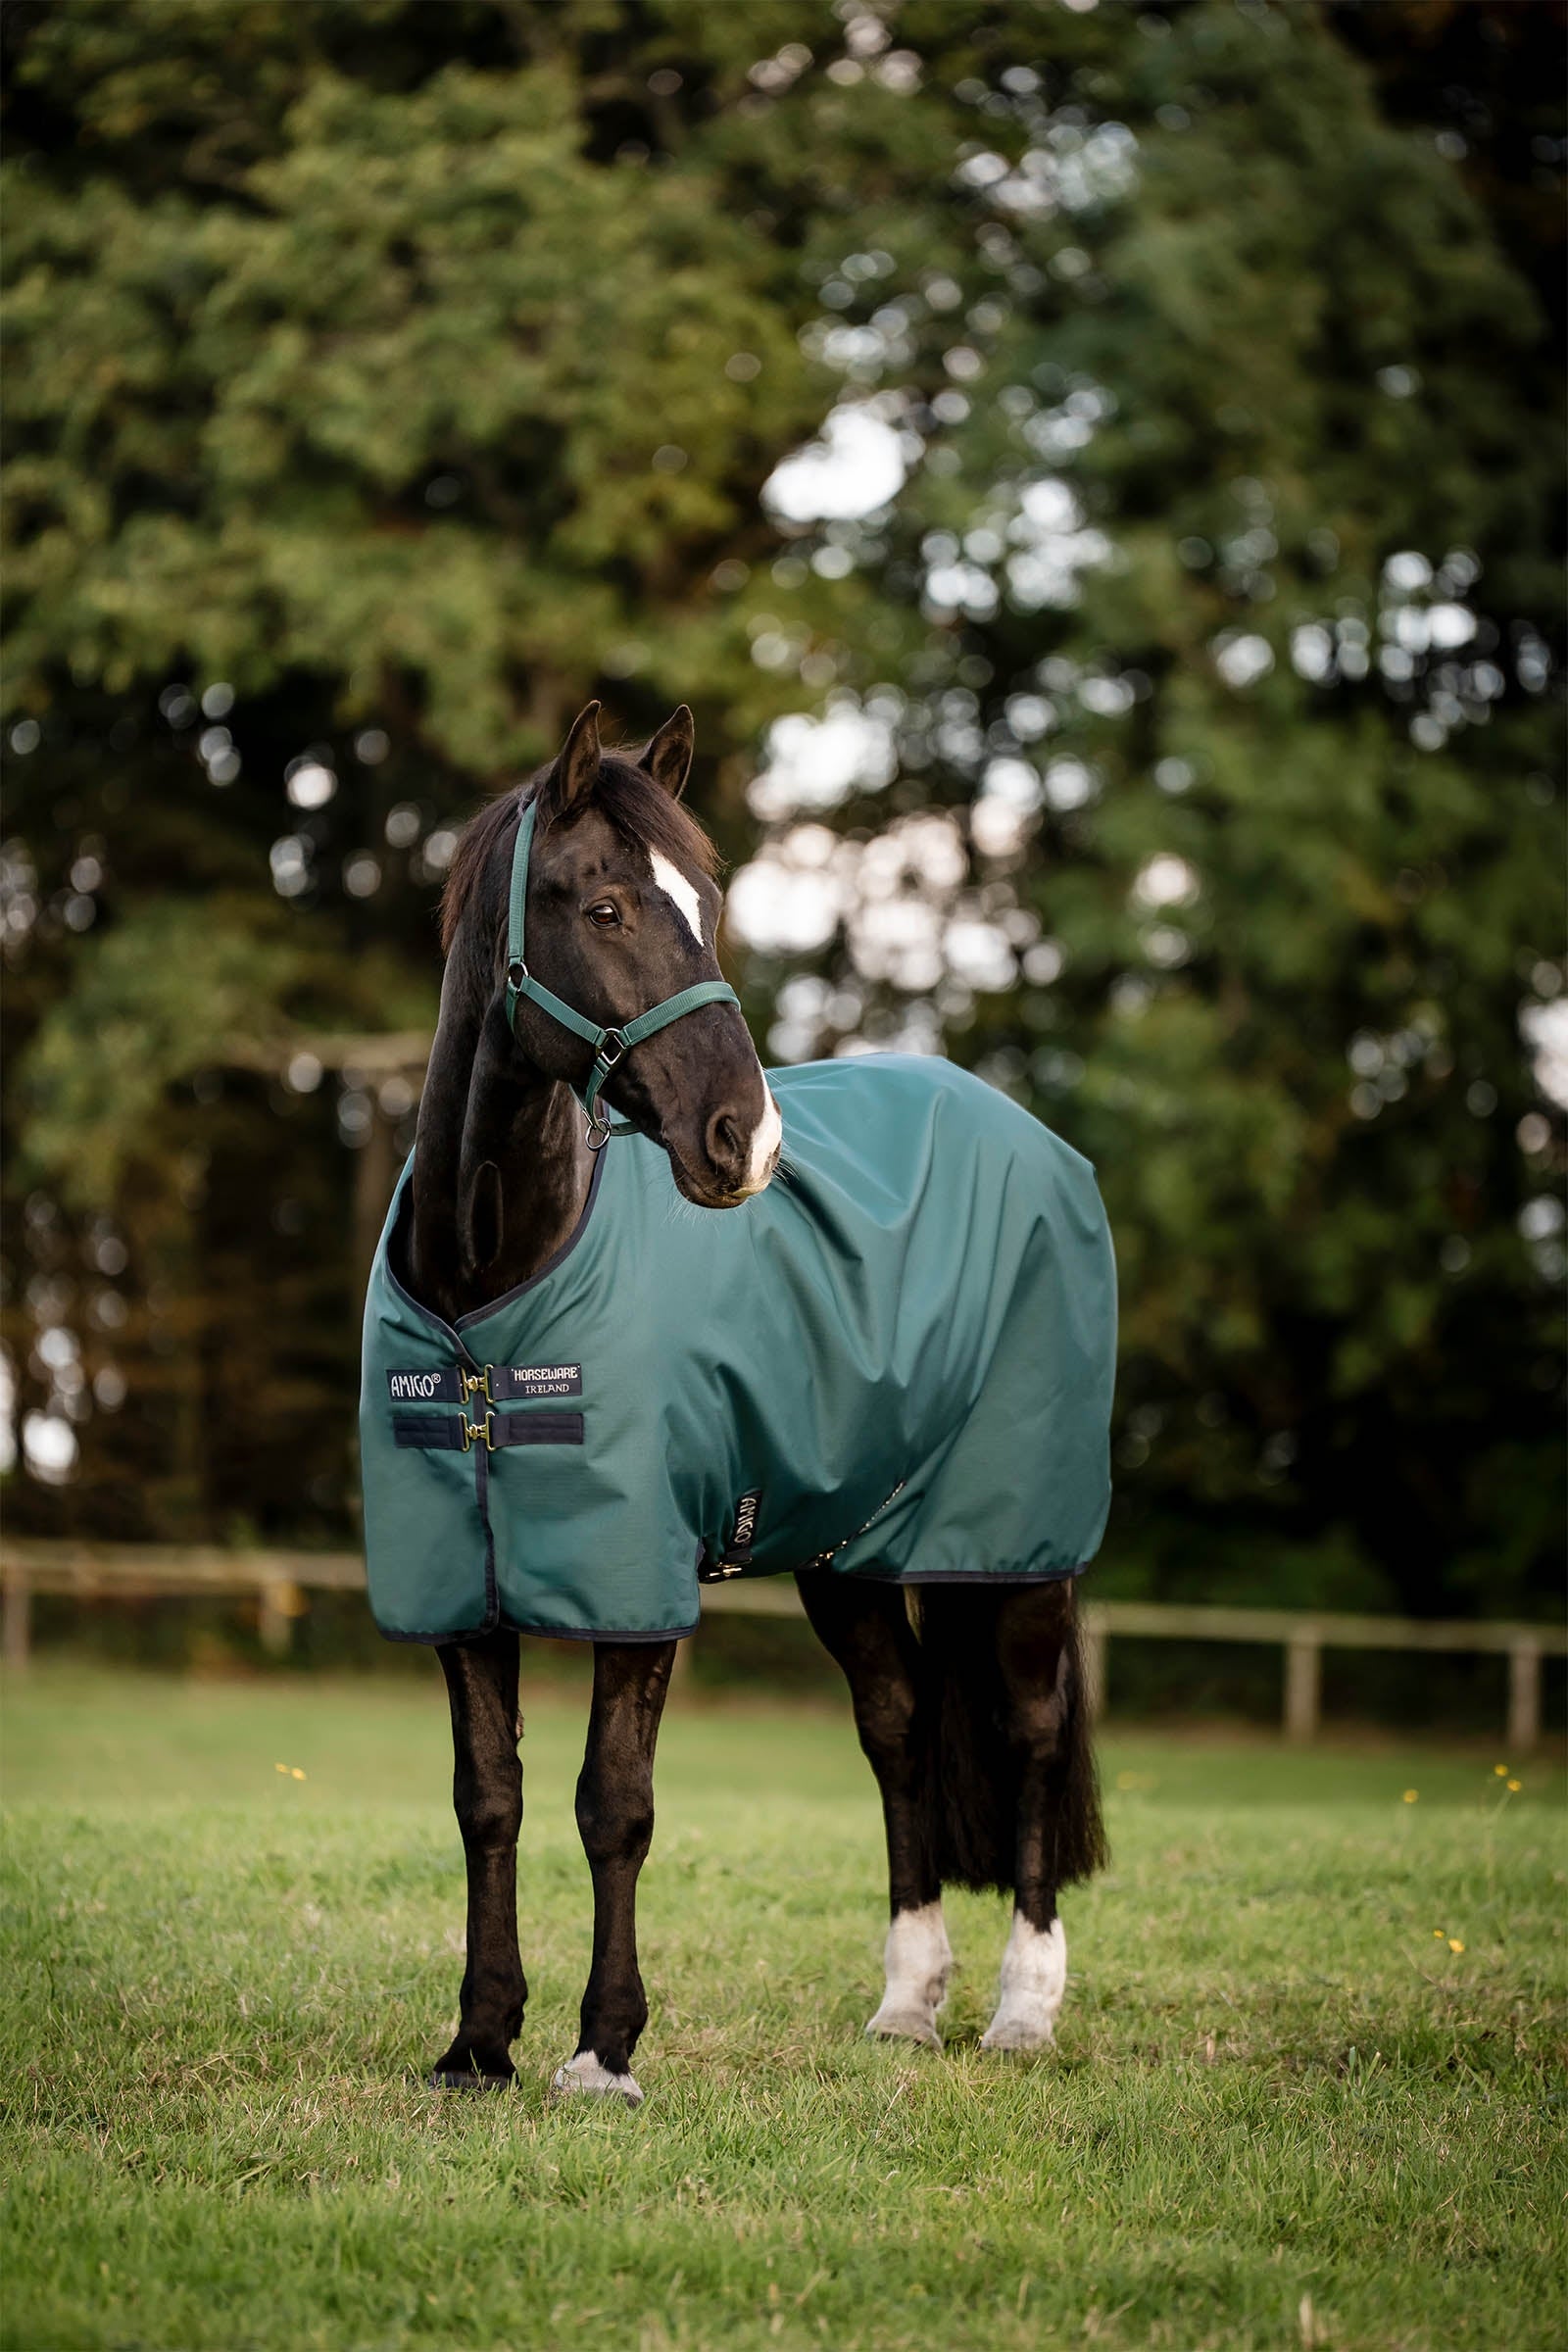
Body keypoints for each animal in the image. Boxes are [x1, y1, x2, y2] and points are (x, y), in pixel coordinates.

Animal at [368, 701, 1111, 2104]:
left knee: (1032, 1733)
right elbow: (487, 1797)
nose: (745, 1141)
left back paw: (1024, 2010)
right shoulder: (454, 1586)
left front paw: (603, 2049)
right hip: (849, 1552)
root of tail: (1029, 1134)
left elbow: (614, 1803)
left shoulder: (636, 1578)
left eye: (707, 905)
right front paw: (479, 2042)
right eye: (603, 905)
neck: (493, 1286)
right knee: (898, 1729)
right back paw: (907, 2003)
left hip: (1017, 1545)